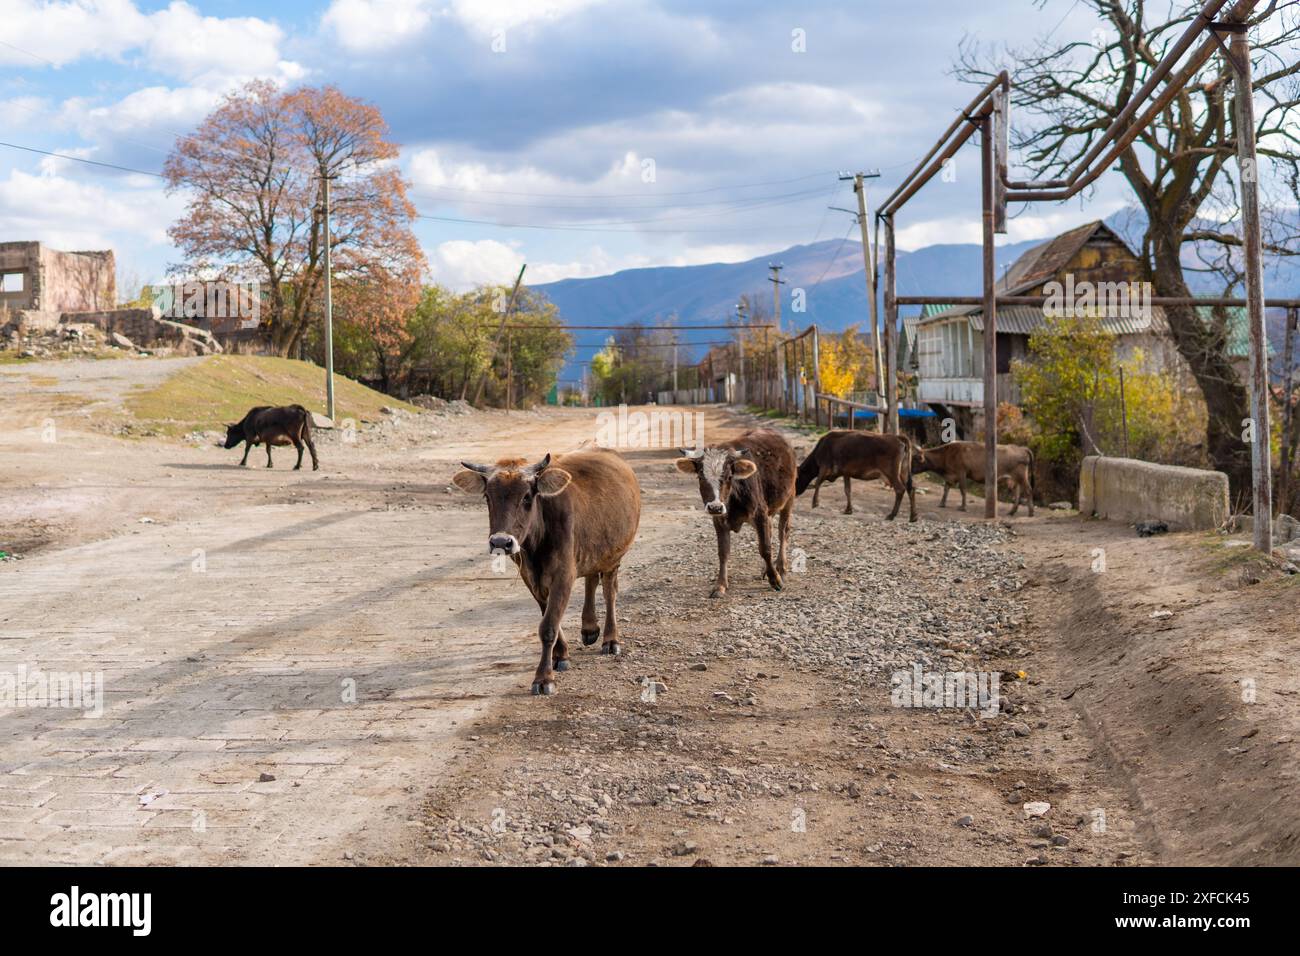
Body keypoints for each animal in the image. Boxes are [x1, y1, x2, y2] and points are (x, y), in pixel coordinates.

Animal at [454, 447, 642, 697]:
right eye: (487, 497)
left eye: (526, 496)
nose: (501, 542)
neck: (537, 543)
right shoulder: (532, 578)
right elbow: (549, 617)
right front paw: (560, 655)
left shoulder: (563, 575)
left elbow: (548, 626)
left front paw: (544, 679)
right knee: (591, 578)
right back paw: (589, 628)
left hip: (614, 556)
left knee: (609, 592)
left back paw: (610, 640)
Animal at [676, 431, 795, 598]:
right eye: (700, 476)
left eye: (728, 477)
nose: (715, 507)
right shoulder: (719, 520)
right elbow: (723, 552)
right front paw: (720, 585)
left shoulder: (760, 514)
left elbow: (765, 548)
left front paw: (775, 579)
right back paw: (765, 569)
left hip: (789, 499)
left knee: (783, 532)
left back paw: (781, 569)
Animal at [909, 442, 1040, 515]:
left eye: (915, 459)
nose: (909, 470)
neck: (947, 454)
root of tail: (1021, 448)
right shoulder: (950, 476)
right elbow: (946, 489)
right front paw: (942, 504)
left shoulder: (961, 472)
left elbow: (963, 490)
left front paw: (963, 507)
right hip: (1014, 479)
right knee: (1017, 493)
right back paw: (1012, 511)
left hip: (1021, 476)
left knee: (1028, 490)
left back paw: (1031, 512)